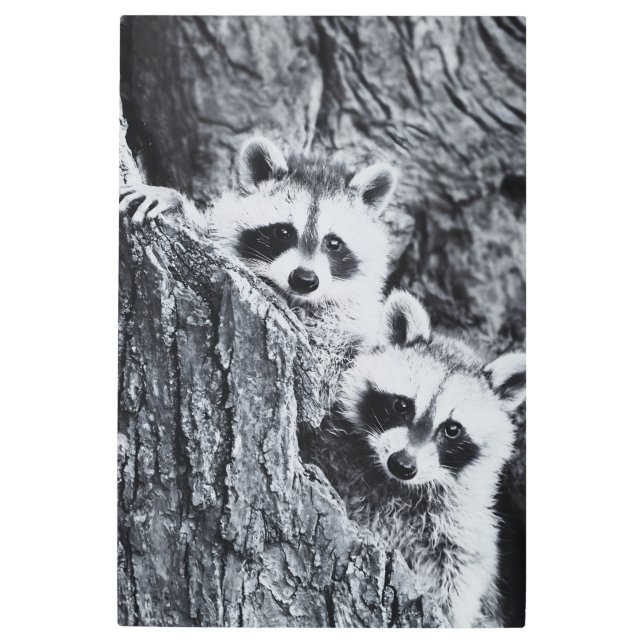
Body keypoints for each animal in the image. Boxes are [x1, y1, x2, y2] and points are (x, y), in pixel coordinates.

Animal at [306, 290, 526, 627]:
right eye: (401, 405)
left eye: (452, 429)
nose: (403, 465)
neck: (395, 486)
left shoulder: (460, 525)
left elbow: (462, 573)